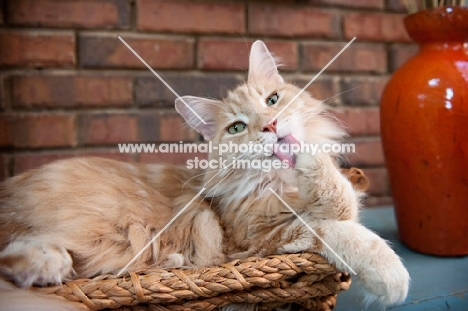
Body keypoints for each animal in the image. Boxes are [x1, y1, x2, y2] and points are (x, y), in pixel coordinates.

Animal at [0, 42, 410, 311]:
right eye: (237, 127)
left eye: (272, 100)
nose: (271, 126)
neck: (278, 182)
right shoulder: (254, 241)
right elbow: (340, 225)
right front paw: (391, 276)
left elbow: (342, 200)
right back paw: (49, 267)